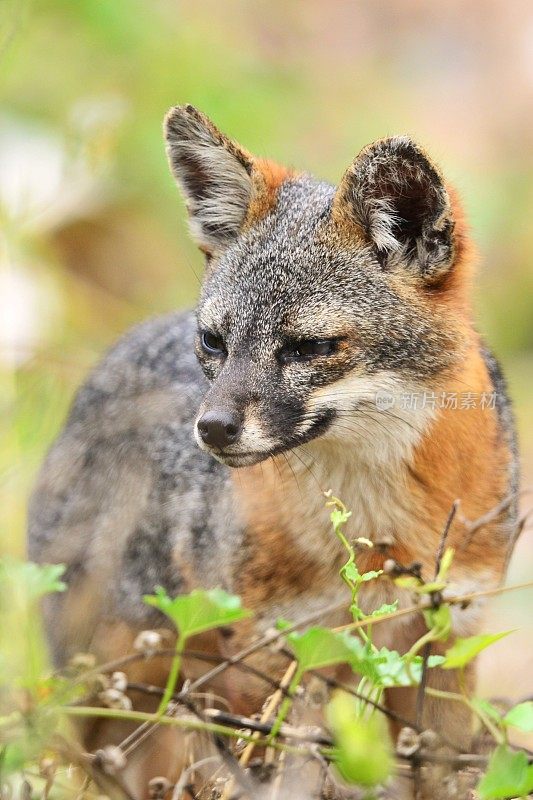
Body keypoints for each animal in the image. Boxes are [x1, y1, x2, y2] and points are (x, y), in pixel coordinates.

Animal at [27, 104, 516, 792]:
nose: (212, 429)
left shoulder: (450, 637)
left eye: (308, 348)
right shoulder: (271, 651)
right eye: (213, 341)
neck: (379, 526)